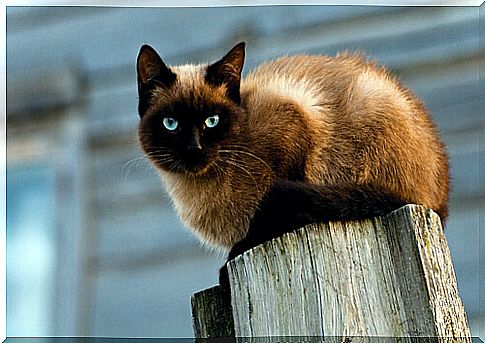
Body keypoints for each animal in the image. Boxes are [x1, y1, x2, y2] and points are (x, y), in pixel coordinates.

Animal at [134, 42, 448, 290]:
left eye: (212, 121)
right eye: (171, 124)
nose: (194, 150)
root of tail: (438, 203)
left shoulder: (292, 120)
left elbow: (273, 209)